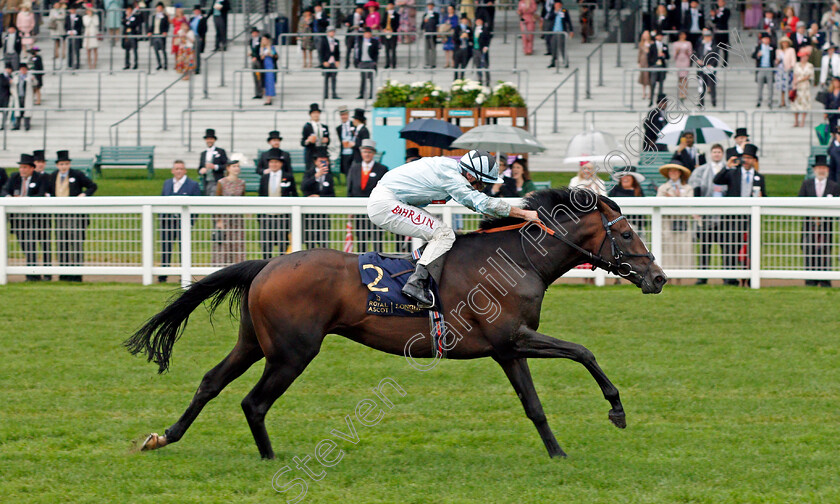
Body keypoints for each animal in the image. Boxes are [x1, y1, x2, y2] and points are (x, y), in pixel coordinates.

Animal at [124, 188, 668, 456]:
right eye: (625, 233)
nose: (659, 276)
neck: (516, 260)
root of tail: (269, 264)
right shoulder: (513, 338)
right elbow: (583, 351)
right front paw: (617, 410)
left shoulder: (507, 348)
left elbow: (534, 406)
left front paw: (557, 454)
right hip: (293, 352)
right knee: (253, 402)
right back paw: (269, 458)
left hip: (255, 343)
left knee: (211, 382)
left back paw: (164, 436)